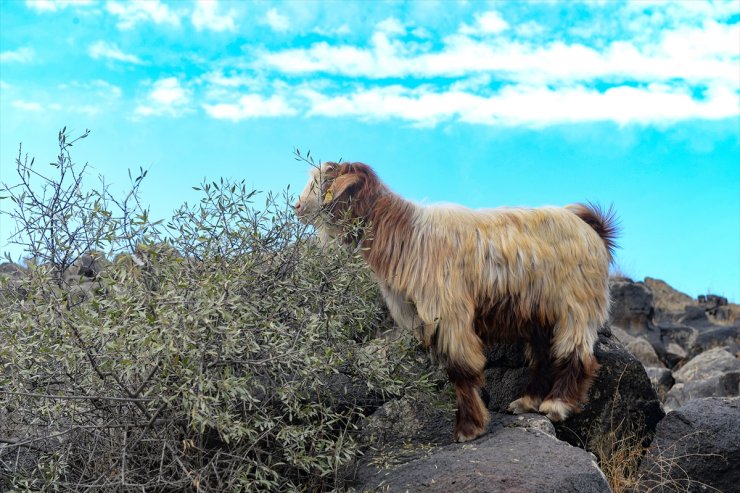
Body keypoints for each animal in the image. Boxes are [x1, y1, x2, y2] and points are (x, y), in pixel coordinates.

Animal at [294, 161, 620, 442]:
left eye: (323, 182)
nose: (297, 207)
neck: (406, 233)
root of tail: (592, 229)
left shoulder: (449, 311)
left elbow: (460, 369)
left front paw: (469, 428)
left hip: (575, 303)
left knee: (577, 353)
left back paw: (557, 404)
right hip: (537, 310)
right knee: (543, 355)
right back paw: (528, 401)